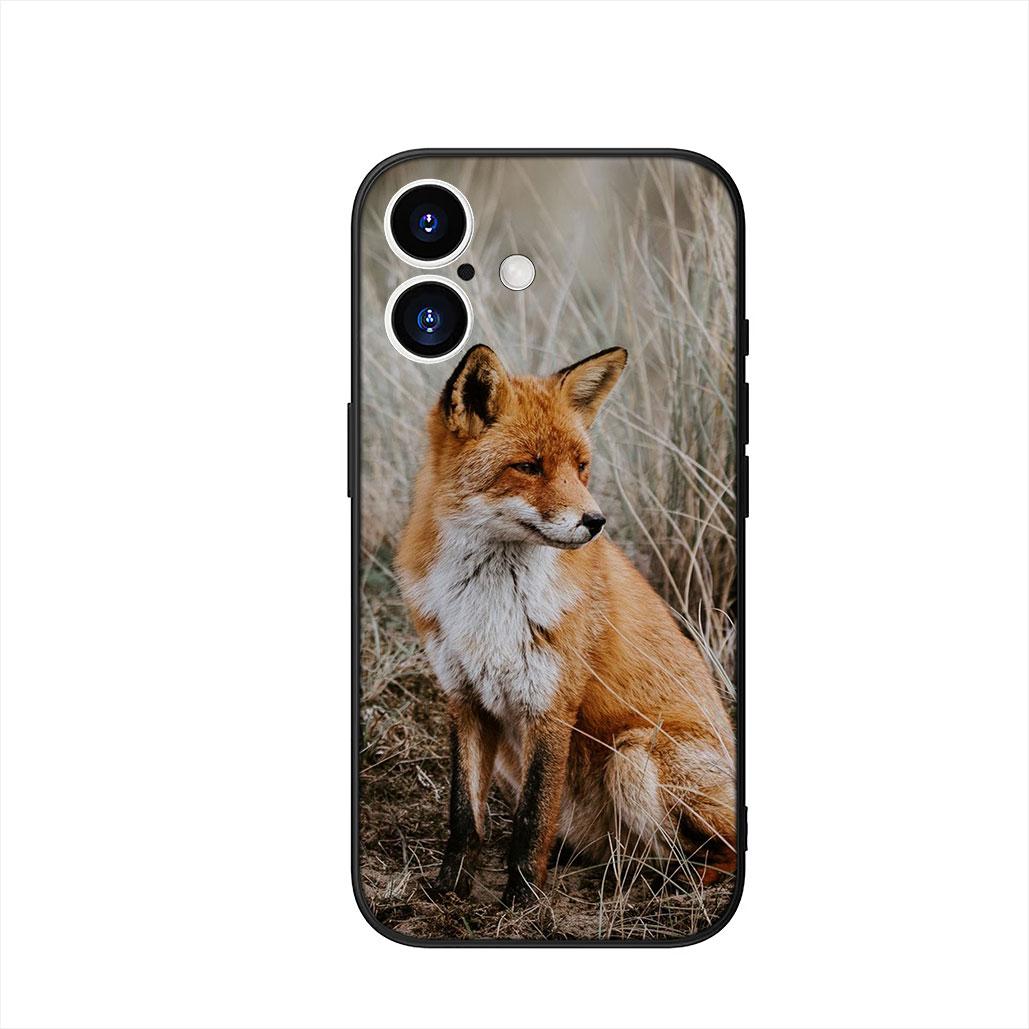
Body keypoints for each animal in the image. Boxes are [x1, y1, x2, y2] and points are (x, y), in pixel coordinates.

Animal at [396, 343, 736, 906]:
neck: (489, 606)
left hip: (634, 757)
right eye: (528, 467)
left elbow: (532, 819)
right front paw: (449, 891)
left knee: (723, 850)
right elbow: (465, 818)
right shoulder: (464, 699)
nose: (595, 522)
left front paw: (523, 905)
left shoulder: (551, 704)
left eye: (580, 467)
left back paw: (671, 881)